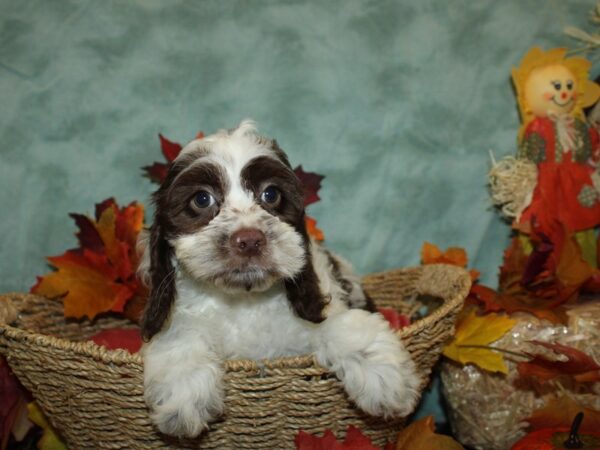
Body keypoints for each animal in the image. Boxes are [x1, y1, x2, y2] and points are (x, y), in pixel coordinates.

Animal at [139, 121, 422, 438]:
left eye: (271, 195)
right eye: (202, 199)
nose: (249, 240)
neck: (244, 300)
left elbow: (340, 325)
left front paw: (385, 379)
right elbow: (178, 332)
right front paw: (184, 395)